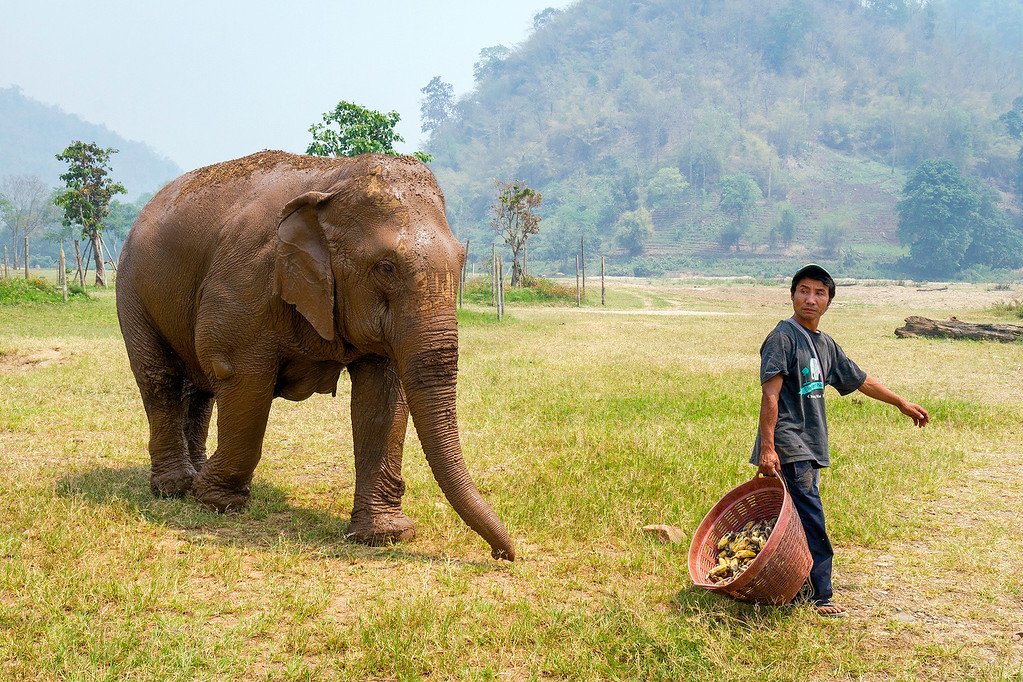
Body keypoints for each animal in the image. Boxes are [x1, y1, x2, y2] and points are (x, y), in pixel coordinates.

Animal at [115, 150, 514, 561]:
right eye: (386, 267)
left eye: (462, 260)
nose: (505, 554)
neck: (332, 176)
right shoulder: (244, 285)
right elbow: (243, 380)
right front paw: (215, 501)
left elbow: (382, 398)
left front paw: (385, 536)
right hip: (131, 287)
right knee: (160, 378)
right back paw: (175, 487)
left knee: (200, 389)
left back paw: (192, 475)